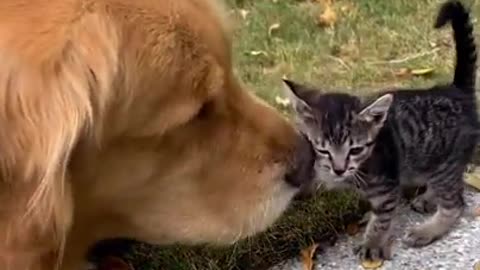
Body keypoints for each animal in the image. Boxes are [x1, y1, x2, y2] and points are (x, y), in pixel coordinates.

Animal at [284, 0, 478, 262]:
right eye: (323, 150)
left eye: (355, 150)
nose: (339, 169)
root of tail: (456, 90)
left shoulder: (386, 187)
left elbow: (382, 219)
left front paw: (372, 243)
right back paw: (428, 197)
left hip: (444, 162)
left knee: (455, 203)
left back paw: (428, 229)